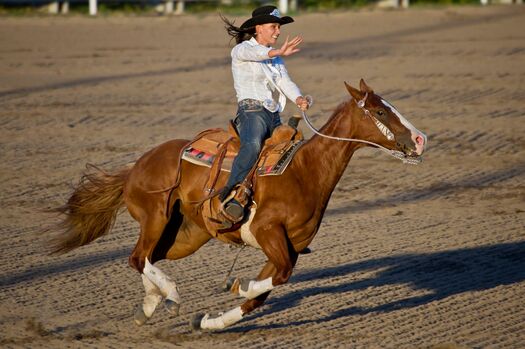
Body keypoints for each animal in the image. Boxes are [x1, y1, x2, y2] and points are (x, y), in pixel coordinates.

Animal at [50, 79, 426, 328]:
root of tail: (136, 166)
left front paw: (210, 321)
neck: (305, 172)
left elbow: (261, 295)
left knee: (147, 258)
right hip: (156, 217)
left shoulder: (287, 247)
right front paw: (239, 285)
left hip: (184, 237)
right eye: (380, 110)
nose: (420, 139)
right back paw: (170, 294)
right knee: (137, 257)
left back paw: (150, 305)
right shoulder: (268, 233)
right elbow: (275, 281)